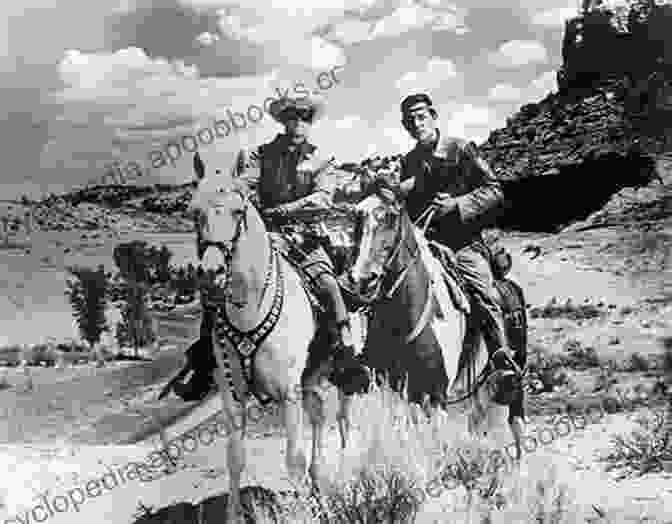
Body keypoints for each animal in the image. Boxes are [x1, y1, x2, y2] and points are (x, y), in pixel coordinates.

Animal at [188, 158, 354, 520]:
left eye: (237, 211)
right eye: (195, 211)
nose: (211, 273)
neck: (251, 309)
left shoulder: (288, 393)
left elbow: (293, 459)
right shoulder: (232, 396)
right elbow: (235, 458)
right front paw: (234, 515)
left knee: (343, 420)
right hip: (312, 378)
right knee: (319, 416)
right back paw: (319, 481)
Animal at [344, 189, 528, 458]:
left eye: (390, 217)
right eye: (357, 217)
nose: (362, 278)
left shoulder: (436, 394)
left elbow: (435, 442)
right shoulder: (395, 391)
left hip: (515, 371)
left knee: (516, 420)